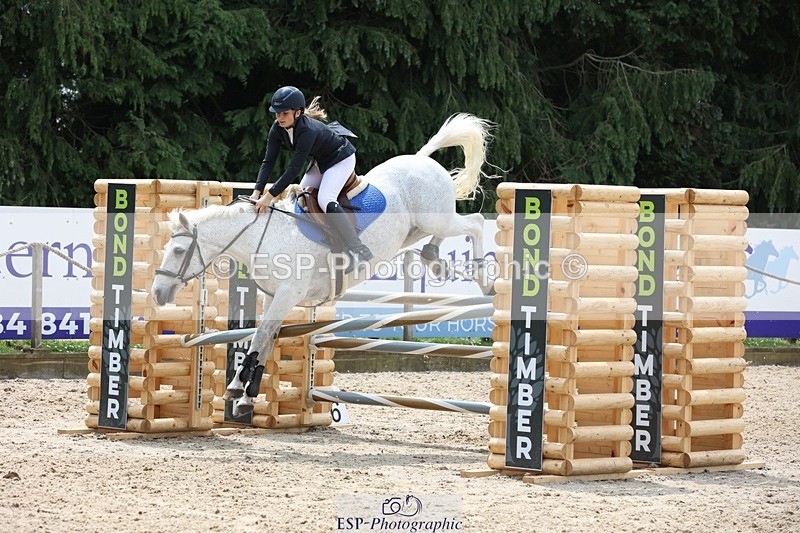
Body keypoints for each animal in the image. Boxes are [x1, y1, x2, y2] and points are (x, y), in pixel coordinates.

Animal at [151, 113, 496, 416]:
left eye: (179, 250)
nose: (156, 293)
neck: (265, 235)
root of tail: (422, 159)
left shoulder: (288, 293)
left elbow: (261, 336)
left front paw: (239, 389)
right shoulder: (273, 297)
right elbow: (265, 338)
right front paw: (246, 395)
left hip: (436, 217)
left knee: (476, 223)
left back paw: (484, 278)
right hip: (416, 228)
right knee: (440, 235)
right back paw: (434, 260)